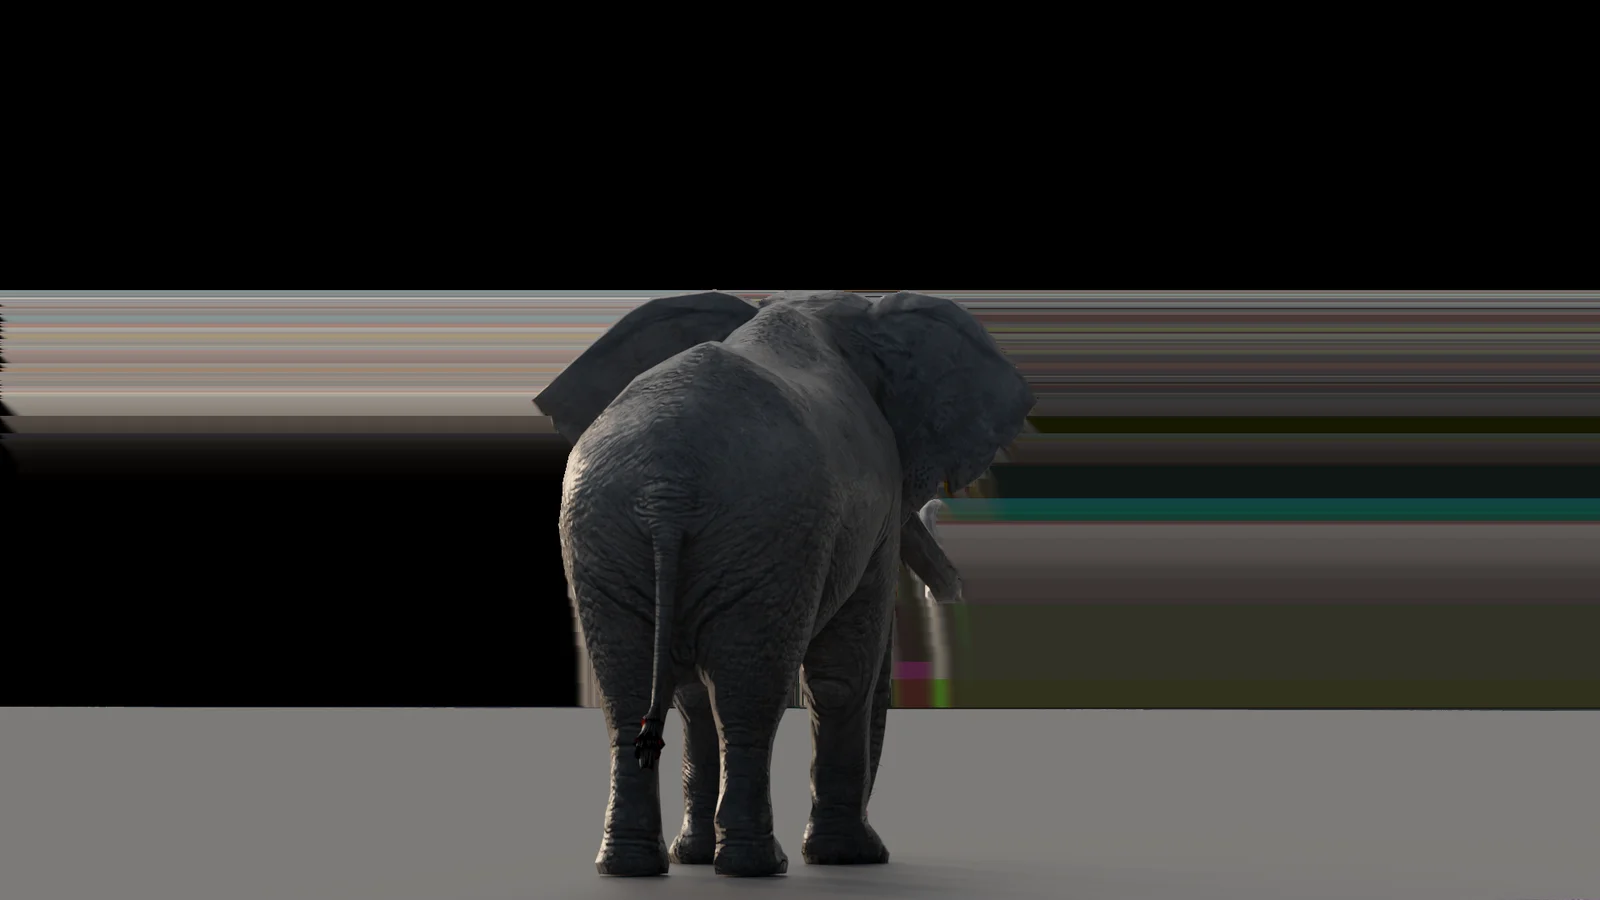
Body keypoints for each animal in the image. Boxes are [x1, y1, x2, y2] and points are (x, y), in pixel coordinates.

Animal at [532, 290, 1034, 877]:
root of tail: (667, 487)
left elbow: (694, 696)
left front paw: (695, 857)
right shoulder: (877, 503)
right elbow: (845, 674)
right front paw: (853, 859)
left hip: (611, 535)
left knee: (632, 691)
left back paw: (633, 866)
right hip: (759, 532)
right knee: (748, 694)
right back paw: (757, 865)